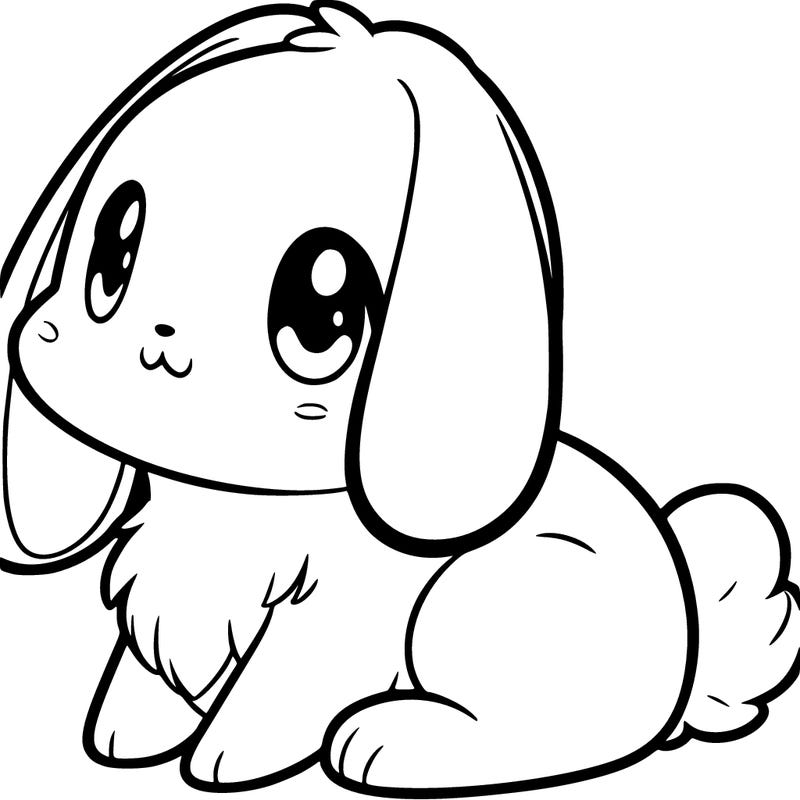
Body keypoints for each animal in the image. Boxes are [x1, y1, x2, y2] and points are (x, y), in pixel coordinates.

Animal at [2, 2, 798, 795]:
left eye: (323, 313)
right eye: (113, 251)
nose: (160, 340)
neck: (235, 510)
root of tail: (688, 646)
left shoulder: (333, 614)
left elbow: (274, 691)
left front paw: (224, 759)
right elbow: (145, 669)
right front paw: (124, 734)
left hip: (488, 597)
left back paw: (390, 740)